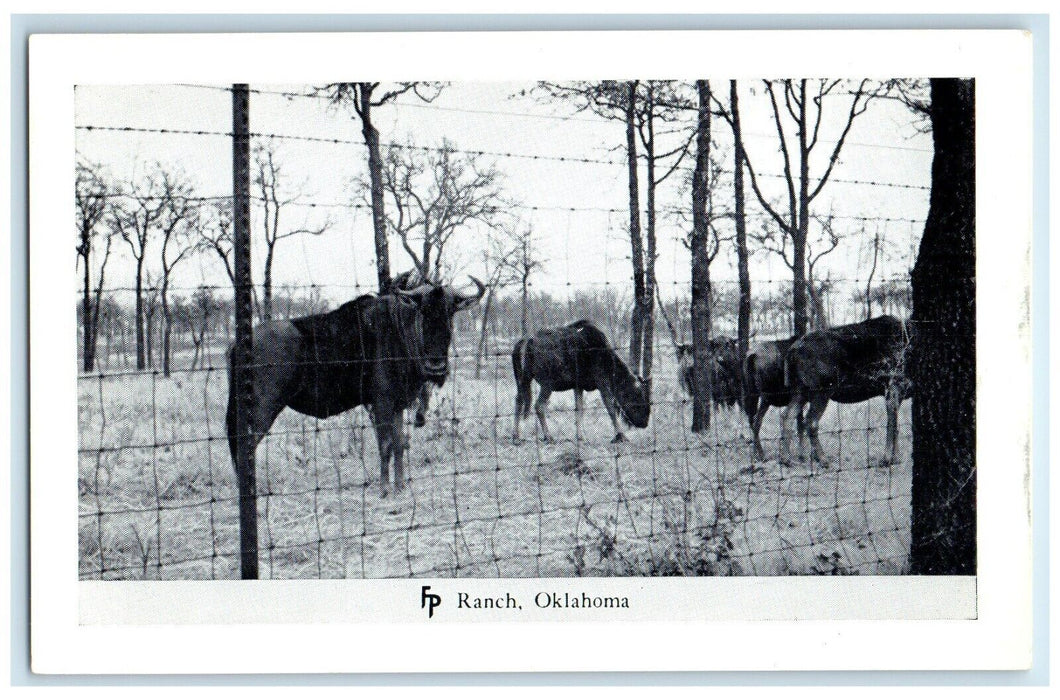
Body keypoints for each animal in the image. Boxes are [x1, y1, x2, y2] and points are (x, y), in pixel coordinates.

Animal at [226, 276, 485, 502]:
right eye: (423, 311)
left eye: (450, 312)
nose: (436, 367)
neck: (398, 331)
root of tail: (238, 344)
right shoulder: (381, 404)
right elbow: (386, 445)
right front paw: (384, 490)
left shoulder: (397, 405)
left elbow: (399, 445)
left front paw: (400, 486)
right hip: (262, 410)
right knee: (245, 445)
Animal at [512, 320, 651, 444]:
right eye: (637, 397)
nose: (645, 423)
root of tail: (525, 342)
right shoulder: (602, 383)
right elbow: (610, 409)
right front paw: (620, 436)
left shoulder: (578, 386)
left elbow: (579, 409)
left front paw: (580, 436)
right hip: (547, 384)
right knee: (539, 406)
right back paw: (548, 436)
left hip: (523, 380)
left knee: (519, 401)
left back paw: (516, 437)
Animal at [780, 315, 912, 469]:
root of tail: (791, 352)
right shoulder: (894, 386)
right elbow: (892, 425)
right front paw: (886, 459)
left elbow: (896, 425)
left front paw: (896, 458)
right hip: (821, 390)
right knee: (811, 421)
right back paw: (823, 460)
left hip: (800, 390)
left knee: (787, 416)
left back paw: (787, 459)